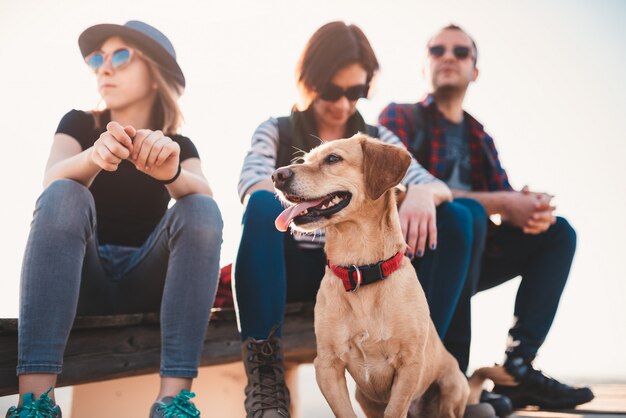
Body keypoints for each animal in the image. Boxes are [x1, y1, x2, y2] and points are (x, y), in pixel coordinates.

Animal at [270, 135, 466, 418]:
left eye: (333, 158)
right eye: (305, 160)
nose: (277, 175)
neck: (360, 270)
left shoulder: (409, 364)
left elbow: (395, 410)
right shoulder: (327, 365)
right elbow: (345, 412)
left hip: (453, 386)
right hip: (364, 397)